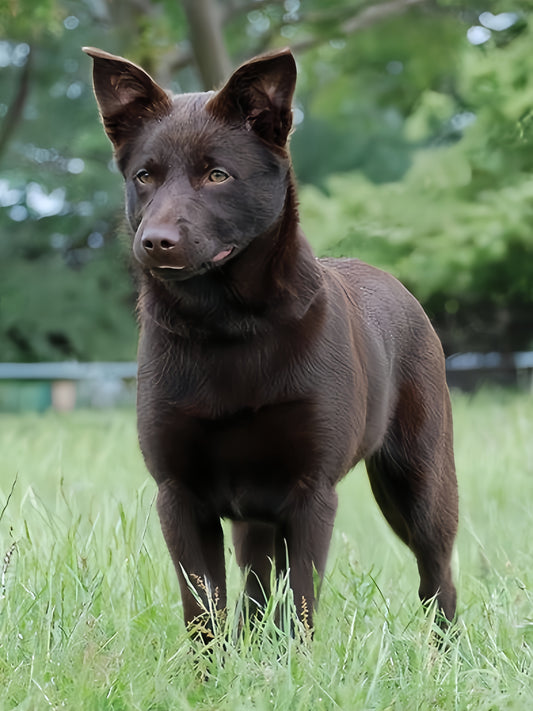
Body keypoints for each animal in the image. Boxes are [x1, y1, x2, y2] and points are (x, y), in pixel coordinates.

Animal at [84, 46, 458, 636]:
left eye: (217, 175)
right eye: (145, 176)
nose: (155, 242)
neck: (227, 327)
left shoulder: (310, 492)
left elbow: (300, 602)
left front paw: (295, 660)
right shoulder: (180, 496)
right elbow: (205, 609)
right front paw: (215, 662)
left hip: (418, 482)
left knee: (437, 572)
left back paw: (443, 650)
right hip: (257, 519)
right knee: (256, 588)